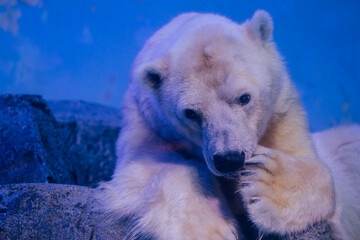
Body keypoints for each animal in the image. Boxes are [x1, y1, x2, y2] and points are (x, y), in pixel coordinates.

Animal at [97, 10, 360, 239]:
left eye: (244, 98)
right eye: (191, 113)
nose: (229, 158)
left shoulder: (283, 119)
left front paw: (264, 181)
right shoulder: (149, 124)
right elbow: (146, 169)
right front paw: (210, 229)